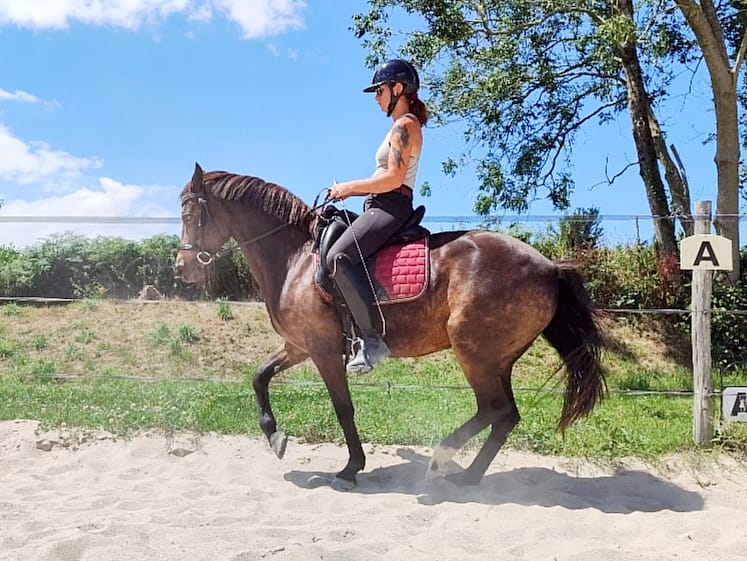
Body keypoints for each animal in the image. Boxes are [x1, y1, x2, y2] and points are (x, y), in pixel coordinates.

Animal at [174, 163, 606, 490]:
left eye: (190, 215)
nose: (181, 268)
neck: (296, 257)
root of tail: (549, 266)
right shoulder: (300, 345)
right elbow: (259, 376)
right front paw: (275, 436)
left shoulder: (323, 351)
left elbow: (343, 408)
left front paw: (350, 469)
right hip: (498, 358)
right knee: (506, 415)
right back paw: (468, 476)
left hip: (474, 351)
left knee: (494, 408)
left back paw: (441, 461)